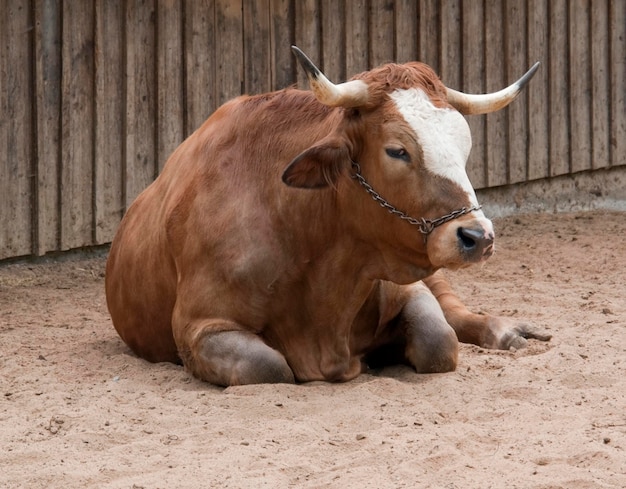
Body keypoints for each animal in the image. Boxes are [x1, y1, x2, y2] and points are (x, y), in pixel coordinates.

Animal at [105, 47, 548, 386]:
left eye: (465, 144)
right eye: (397, 150)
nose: (477, 236)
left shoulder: (407, 287)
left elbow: (439, 341)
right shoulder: (201, 327)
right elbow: (269, 367)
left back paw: (507, 331)